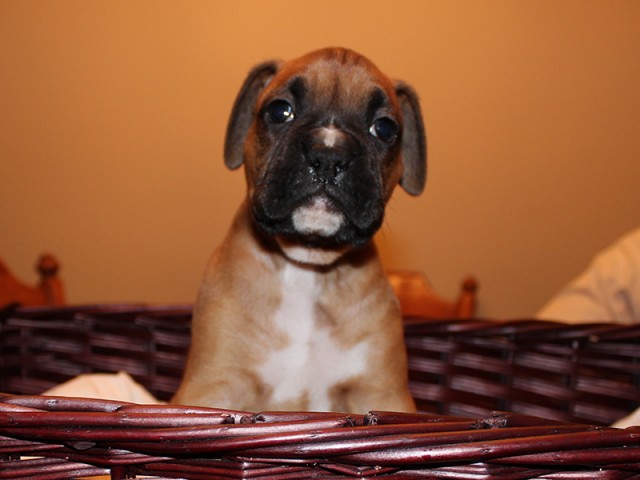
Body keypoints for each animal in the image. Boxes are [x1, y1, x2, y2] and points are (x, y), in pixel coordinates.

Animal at [172, 47, 428, 412]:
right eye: (280, 111)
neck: (308, 267)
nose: (329, 155)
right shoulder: (211, 386)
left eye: (384, 127)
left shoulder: (383, 395)